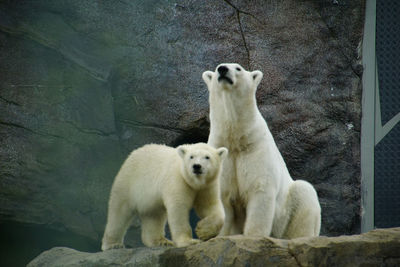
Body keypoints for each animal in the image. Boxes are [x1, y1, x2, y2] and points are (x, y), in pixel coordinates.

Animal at [202, 63, 320, 240]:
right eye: (216, 69)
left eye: (238, 68)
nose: (223, 69)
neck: (236, 140)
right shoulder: (223, 155)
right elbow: (222, 194)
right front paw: (220, 237)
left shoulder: (256, 150)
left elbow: (260, 190)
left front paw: (252, 236)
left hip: (286, 213)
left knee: (304, 191)